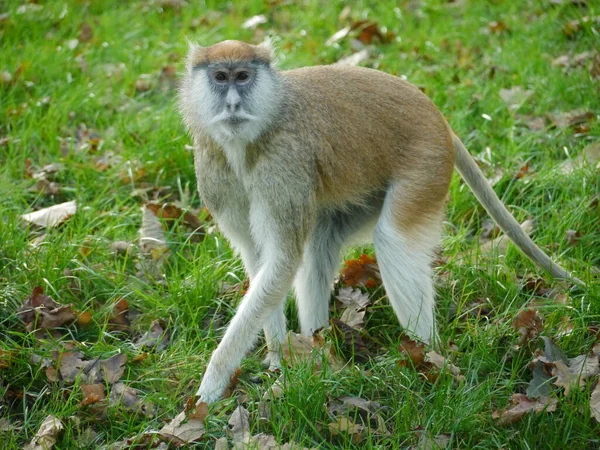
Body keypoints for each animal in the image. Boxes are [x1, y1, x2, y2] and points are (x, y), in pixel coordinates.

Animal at [179, 39, 576, 404]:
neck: (254, 134)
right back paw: (320, 348)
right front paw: (278, 358)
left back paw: (426, 360)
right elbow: (260, 260)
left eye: (243, 77)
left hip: (426, 167)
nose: (232, 104)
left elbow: (281, 261)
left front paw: (212, 383)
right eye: (220, 77)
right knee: (321, 245)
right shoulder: (214, 173)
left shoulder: (284, 169)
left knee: (392, 242)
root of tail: (439, 119)